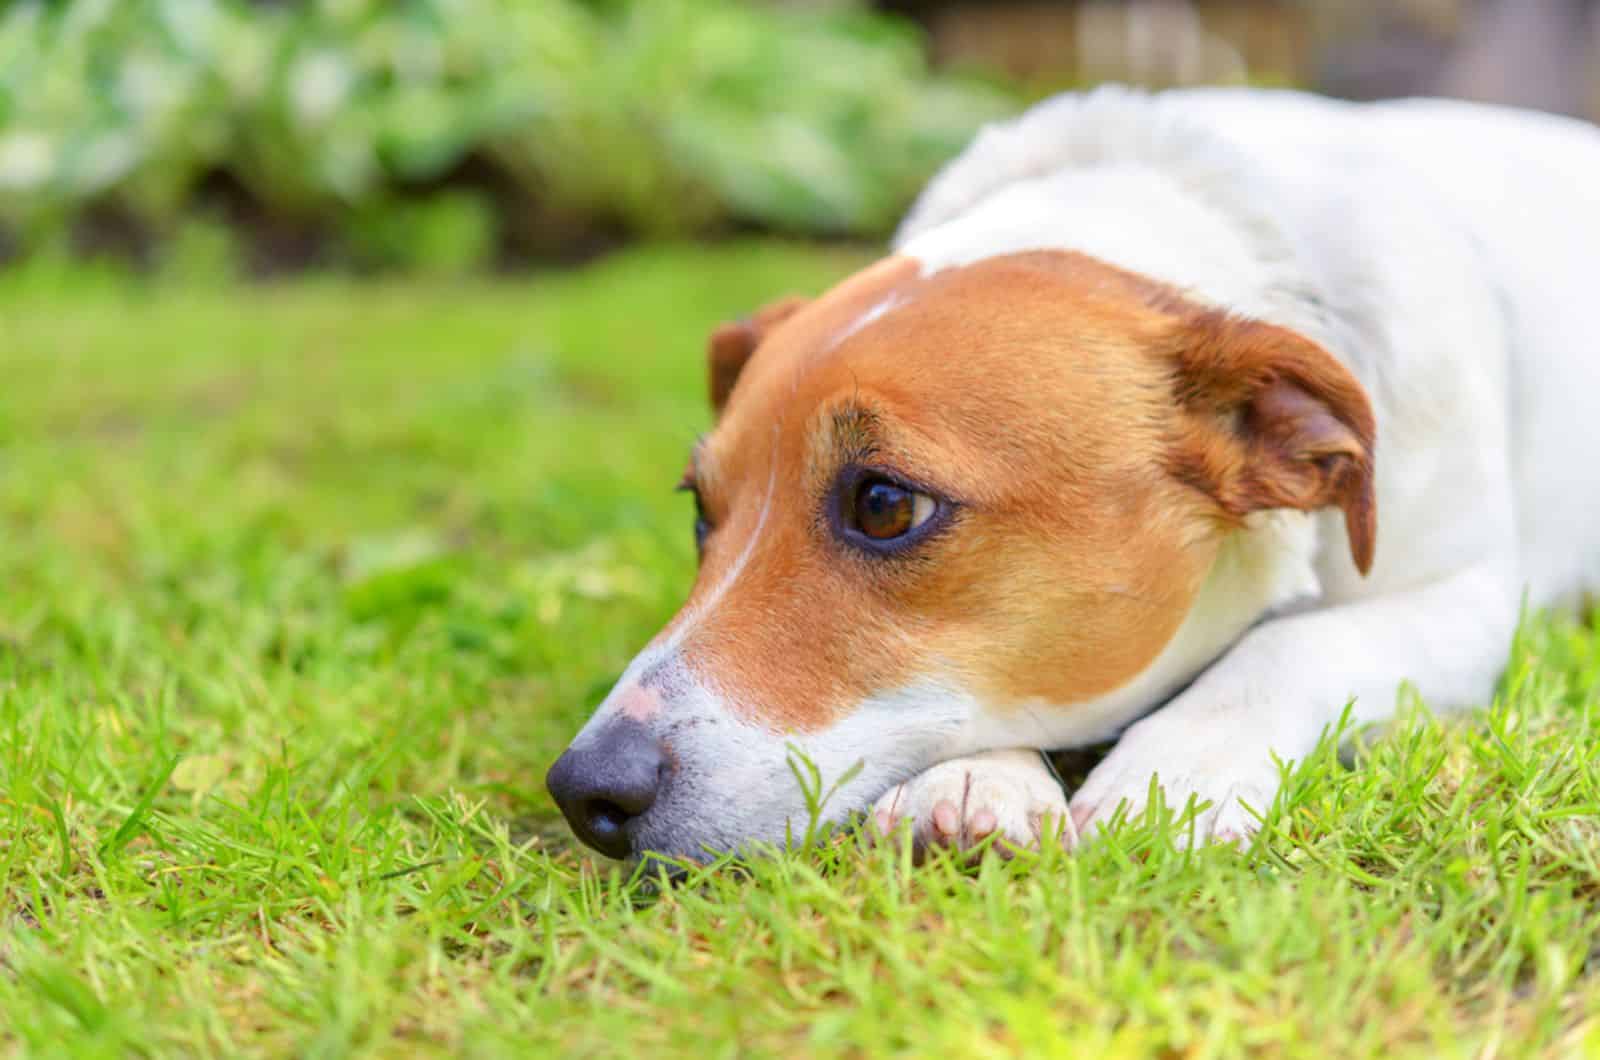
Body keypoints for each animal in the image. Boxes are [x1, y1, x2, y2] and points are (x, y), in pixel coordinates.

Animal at [544, 89, 1593, 864]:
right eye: (700, 511)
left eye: (884, 504)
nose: (583, 790)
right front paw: (971, 781)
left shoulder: (1464, 601)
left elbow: (1293, 645)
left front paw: (1177, 769)